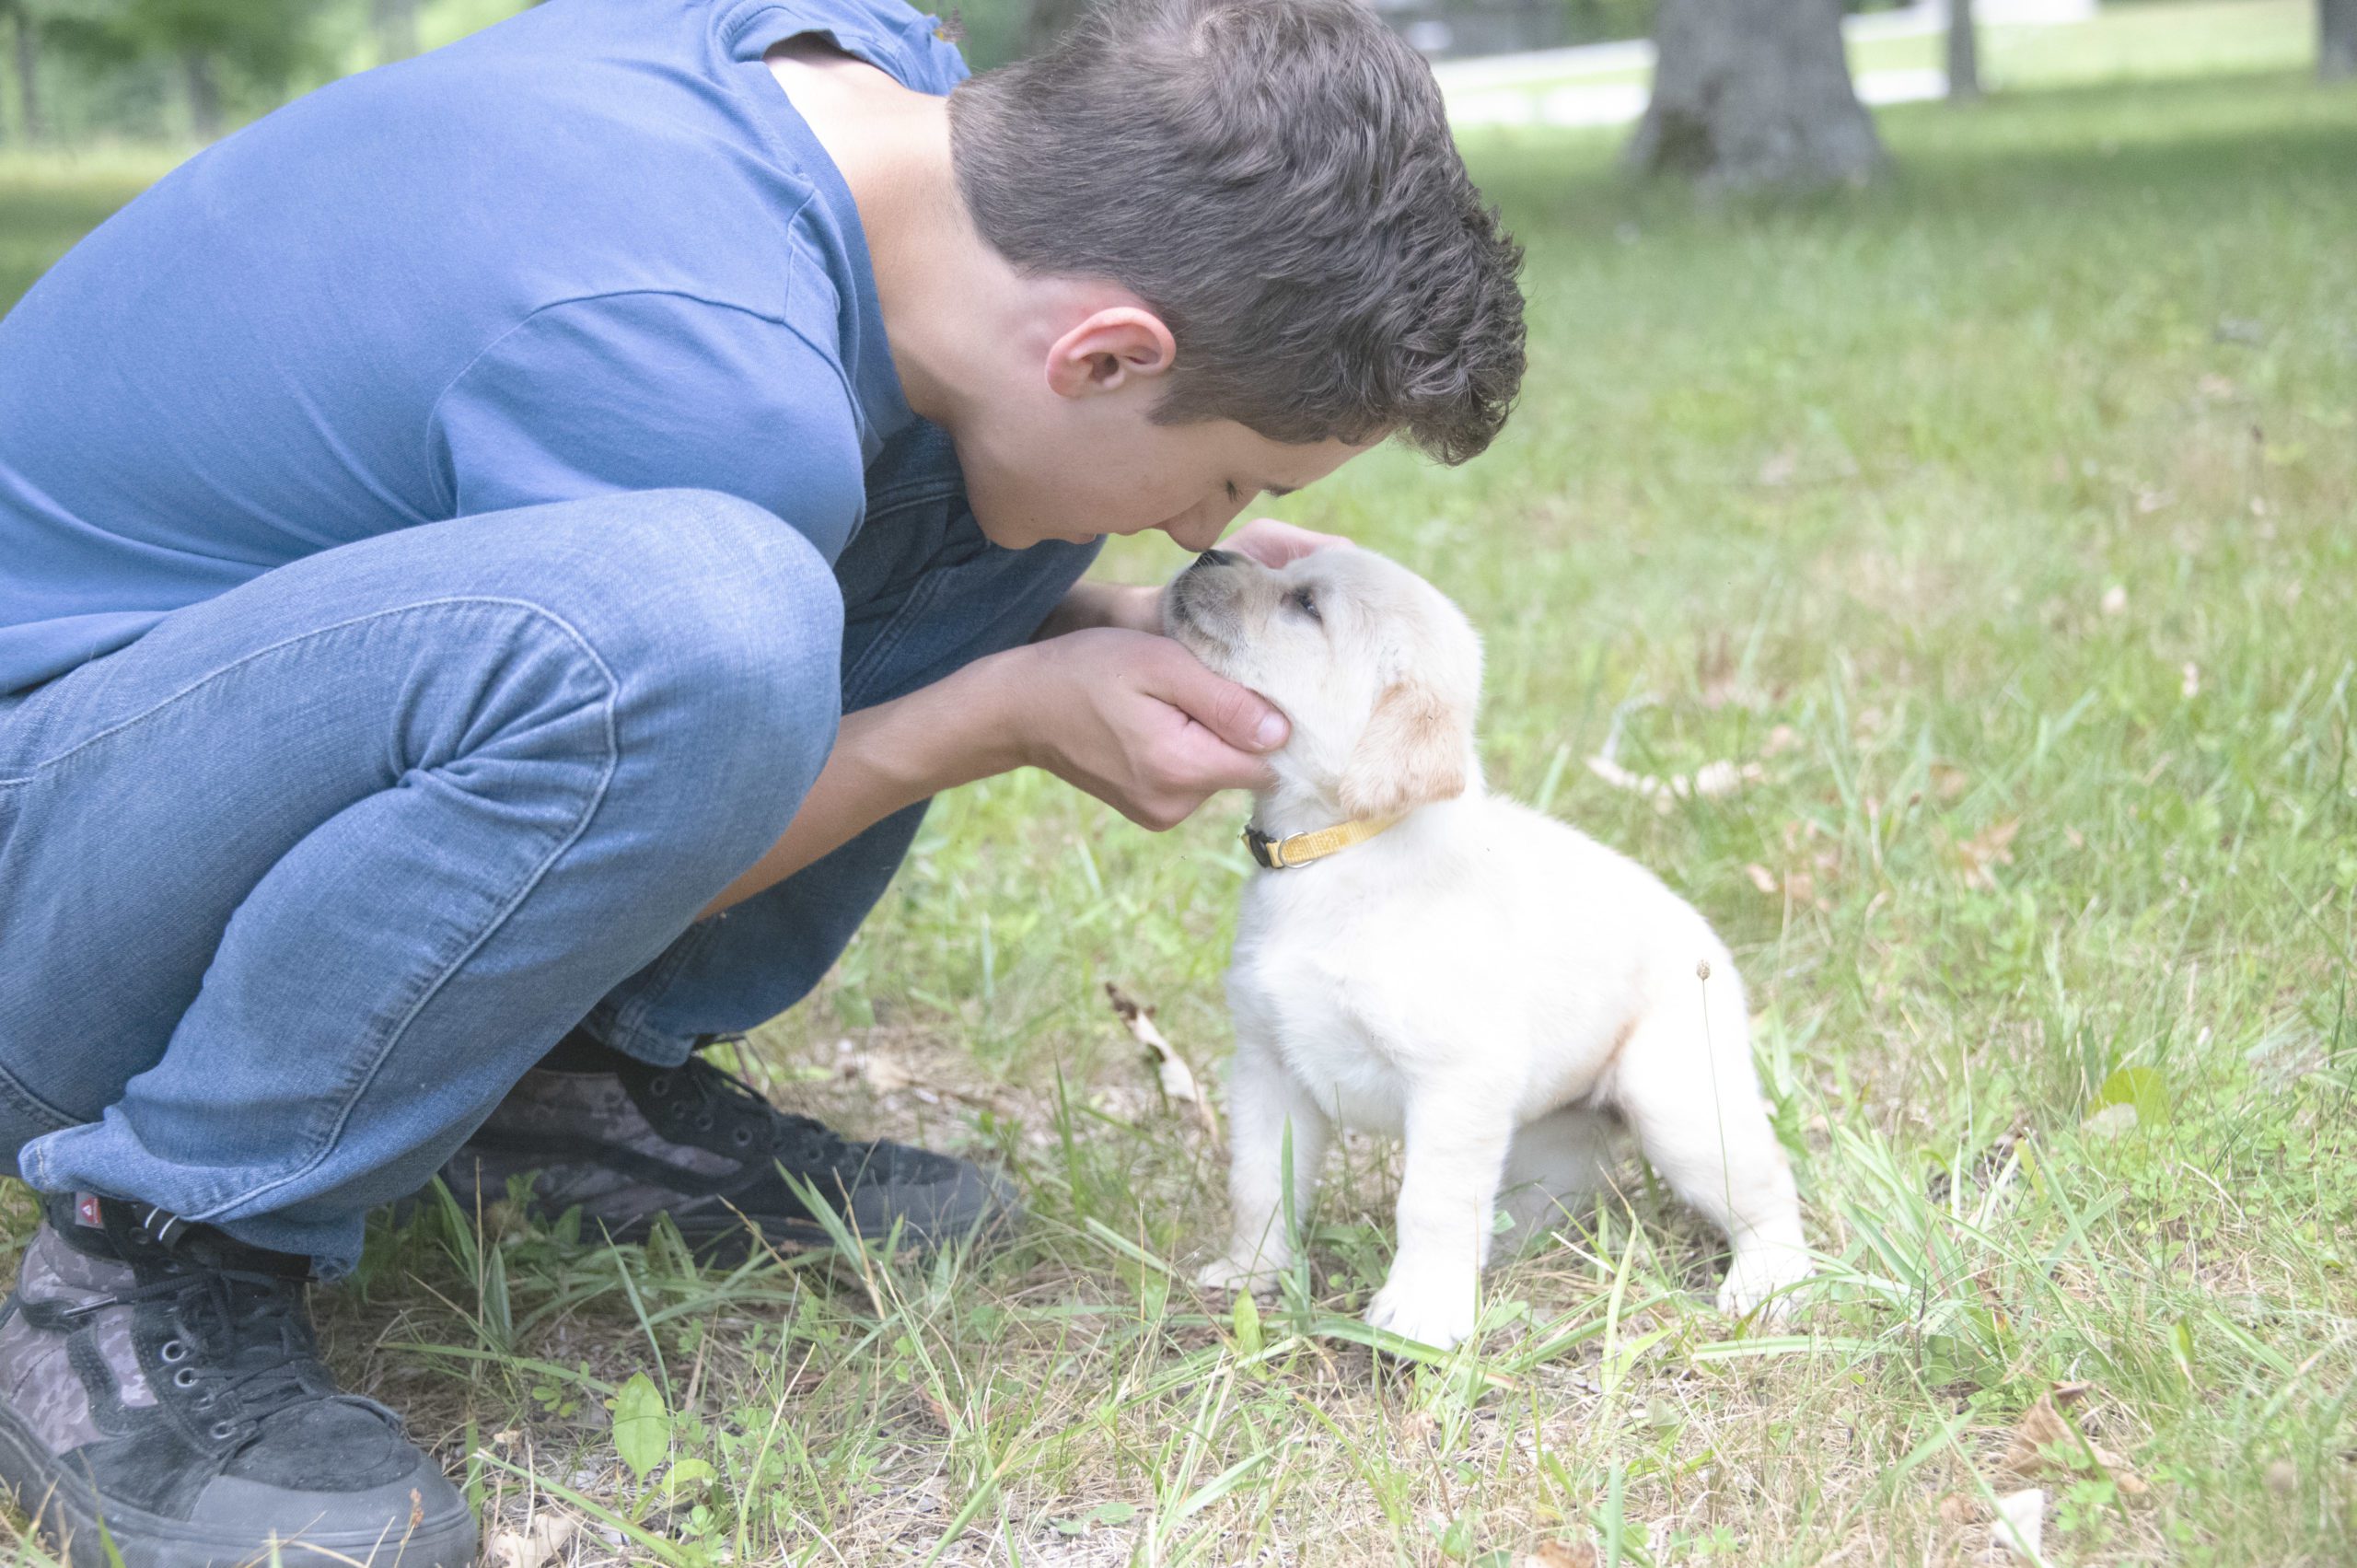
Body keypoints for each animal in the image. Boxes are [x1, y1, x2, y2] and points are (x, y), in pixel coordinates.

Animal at [1168, 544, 1810, 1339]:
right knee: (1552, 1195)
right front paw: (1250, 1272)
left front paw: (1420, 1311)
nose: (1209, 550)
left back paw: (1770, 1282)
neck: (1333, 850)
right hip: (1549, 1132)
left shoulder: (1455, 1082)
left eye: (1306, 605)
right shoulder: (1267, 1066)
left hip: (1678, 1101)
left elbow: (1431, 1202)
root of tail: (1708, 941)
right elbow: (1259, 1182)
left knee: (1768, 1183)